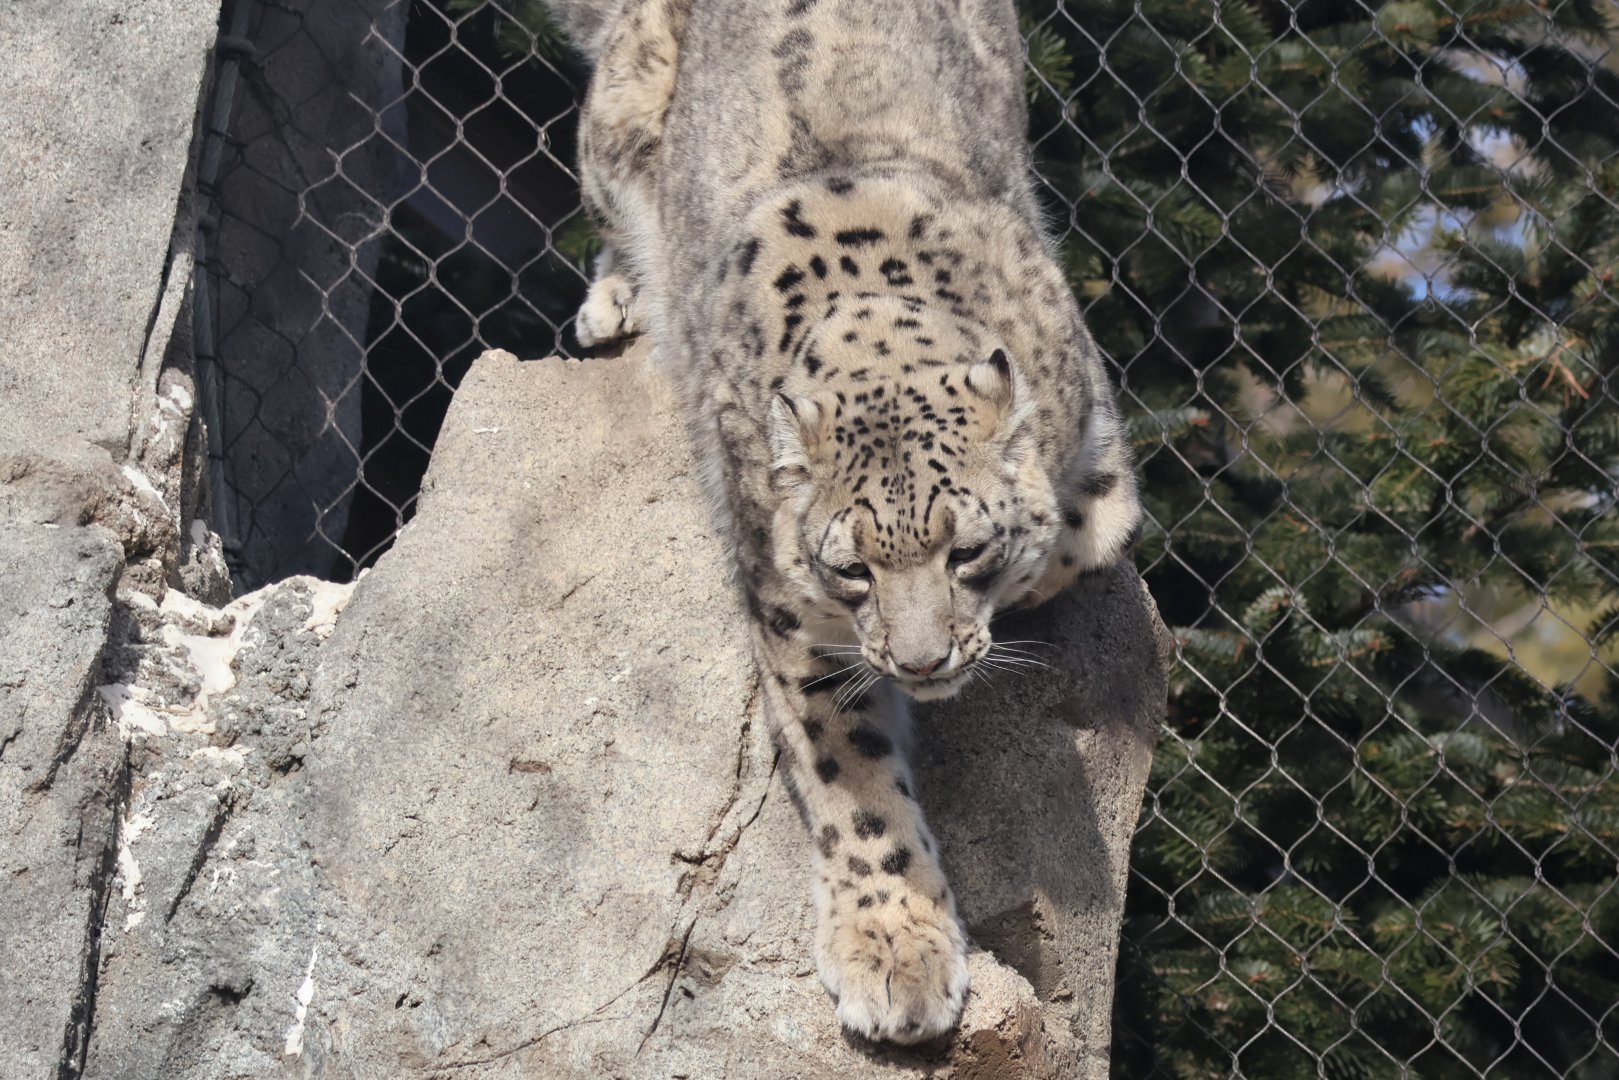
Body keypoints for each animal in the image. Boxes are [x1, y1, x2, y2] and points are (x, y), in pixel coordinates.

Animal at [545, 0, 1143, 1044]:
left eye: (966, 548)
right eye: (852, 568)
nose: (921, 660)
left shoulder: (1099, 461)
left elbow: (1070, 542)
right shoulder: (787, 608)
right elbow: (850, 777)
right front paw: (895, 953)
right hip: (615, 122)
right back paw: (620, 299)